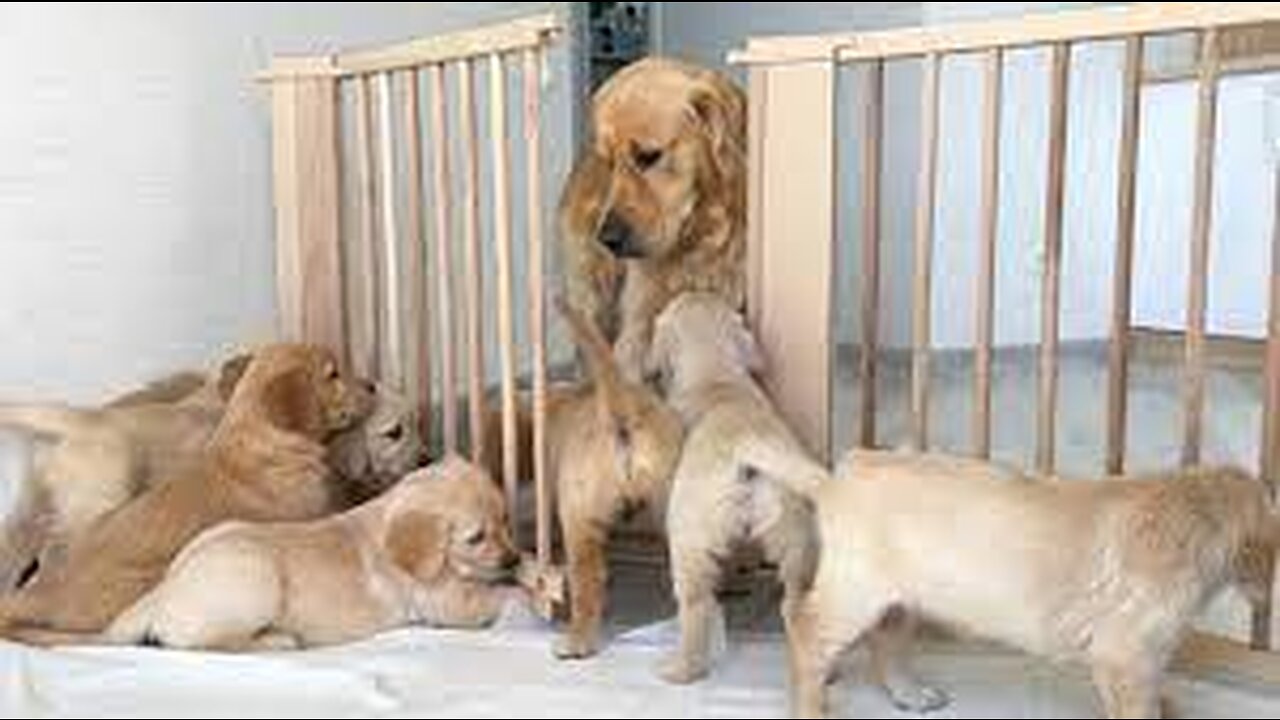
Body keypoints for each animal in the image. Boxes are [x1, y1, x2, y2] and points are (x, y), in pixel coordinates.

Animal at [103, 456, 535, 653]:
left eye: (505, 520)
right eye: (476, 538)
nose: (512, 559)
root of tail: (164, 590)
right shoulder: (442, 603)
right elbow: (492, 595)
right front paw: (526, 588)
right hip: (256, 580)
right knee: (193, 643)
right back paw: (275, 640)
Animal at [563, 58, 747, 379]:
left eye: (649, 156)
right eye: (609, 164)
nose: (607, 239)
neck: (694, 241)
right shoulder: (638, 324)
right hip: (588, 292)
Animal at [788, 448, 1280, 717]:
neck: (1193, 511)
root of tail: (841, 475)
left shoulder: (1146, 657)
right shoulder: (1124, 656)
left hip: (901, 598)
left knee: (884, 639)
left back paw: (910, 695)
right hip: (856, 591)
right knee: (804, 630)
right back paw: (812, 708)